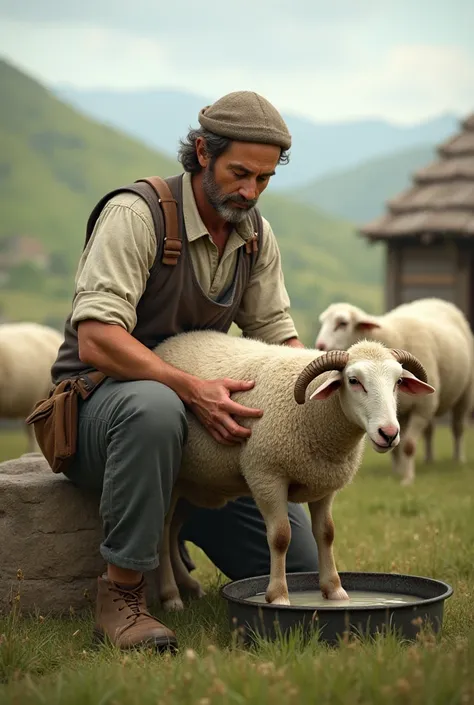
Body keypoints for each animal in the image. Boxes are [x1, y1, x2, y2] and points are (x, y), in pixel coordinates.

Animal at [152, 330, 434, 612]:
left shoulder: (324, 483)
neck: (314, 414)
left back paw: (188, 586)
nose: (389, 433)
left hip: (195, 485)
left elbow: (326, 533)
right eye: (353, 381)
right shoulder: (266, 476)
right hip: (175, 479)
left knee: (173, 530)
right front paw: (278, 596)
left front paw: (336, 592)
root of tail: (168, 343)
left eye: (398, 381)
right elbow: (280, 537)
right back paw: (171, 596)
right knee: (162, 531)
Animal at [314, 296, 474, 484]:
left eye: (342, 323)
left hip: (465, 394)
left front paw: (407, 479)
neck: (389, 335)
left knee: (458, 428)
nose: (320, 345)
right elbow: (396, 446)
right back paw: (428, 460)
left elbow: (408, 446)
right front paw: (398, 472)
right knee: (429, 431)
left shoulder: (421, 408)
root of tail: (434, 299)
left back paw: (458, 459)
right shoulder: (399, 413)